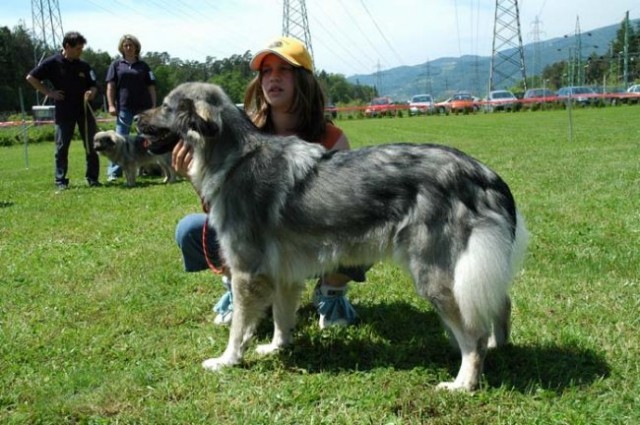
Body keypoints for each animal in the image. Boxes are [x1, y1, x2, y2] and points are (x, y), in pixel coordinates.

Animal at [136, 83, 528, 390]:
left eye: (166, 107)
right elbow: (281, 320)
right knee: (500, 303)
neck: (234, 158)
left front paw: (227, 360)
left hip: (434, 277)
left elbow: (239, 329)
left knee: (474, 335)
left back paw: (464, 382)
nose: (137, 118)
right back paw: (500, 346)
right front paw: (277, 348)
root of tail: (482, 174)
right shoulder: (282, 274)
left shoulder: (246, 273)